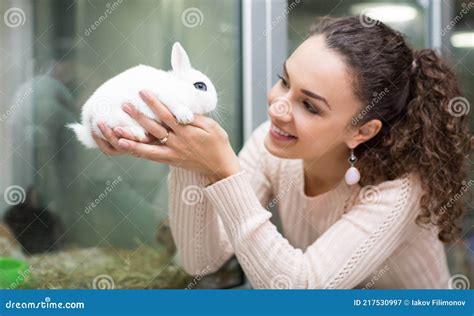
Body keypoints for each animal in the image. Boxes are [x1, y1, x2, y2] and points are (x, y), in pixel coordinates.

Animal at [67, 41, 218, 148]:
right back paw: (137, 133)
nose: (214, 104)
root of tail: (88, 121)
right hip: (115, 117)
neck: (176, 87)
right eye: (200, 86)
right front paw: (186, 117)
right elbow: (175, 105)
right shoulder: (163, 96)